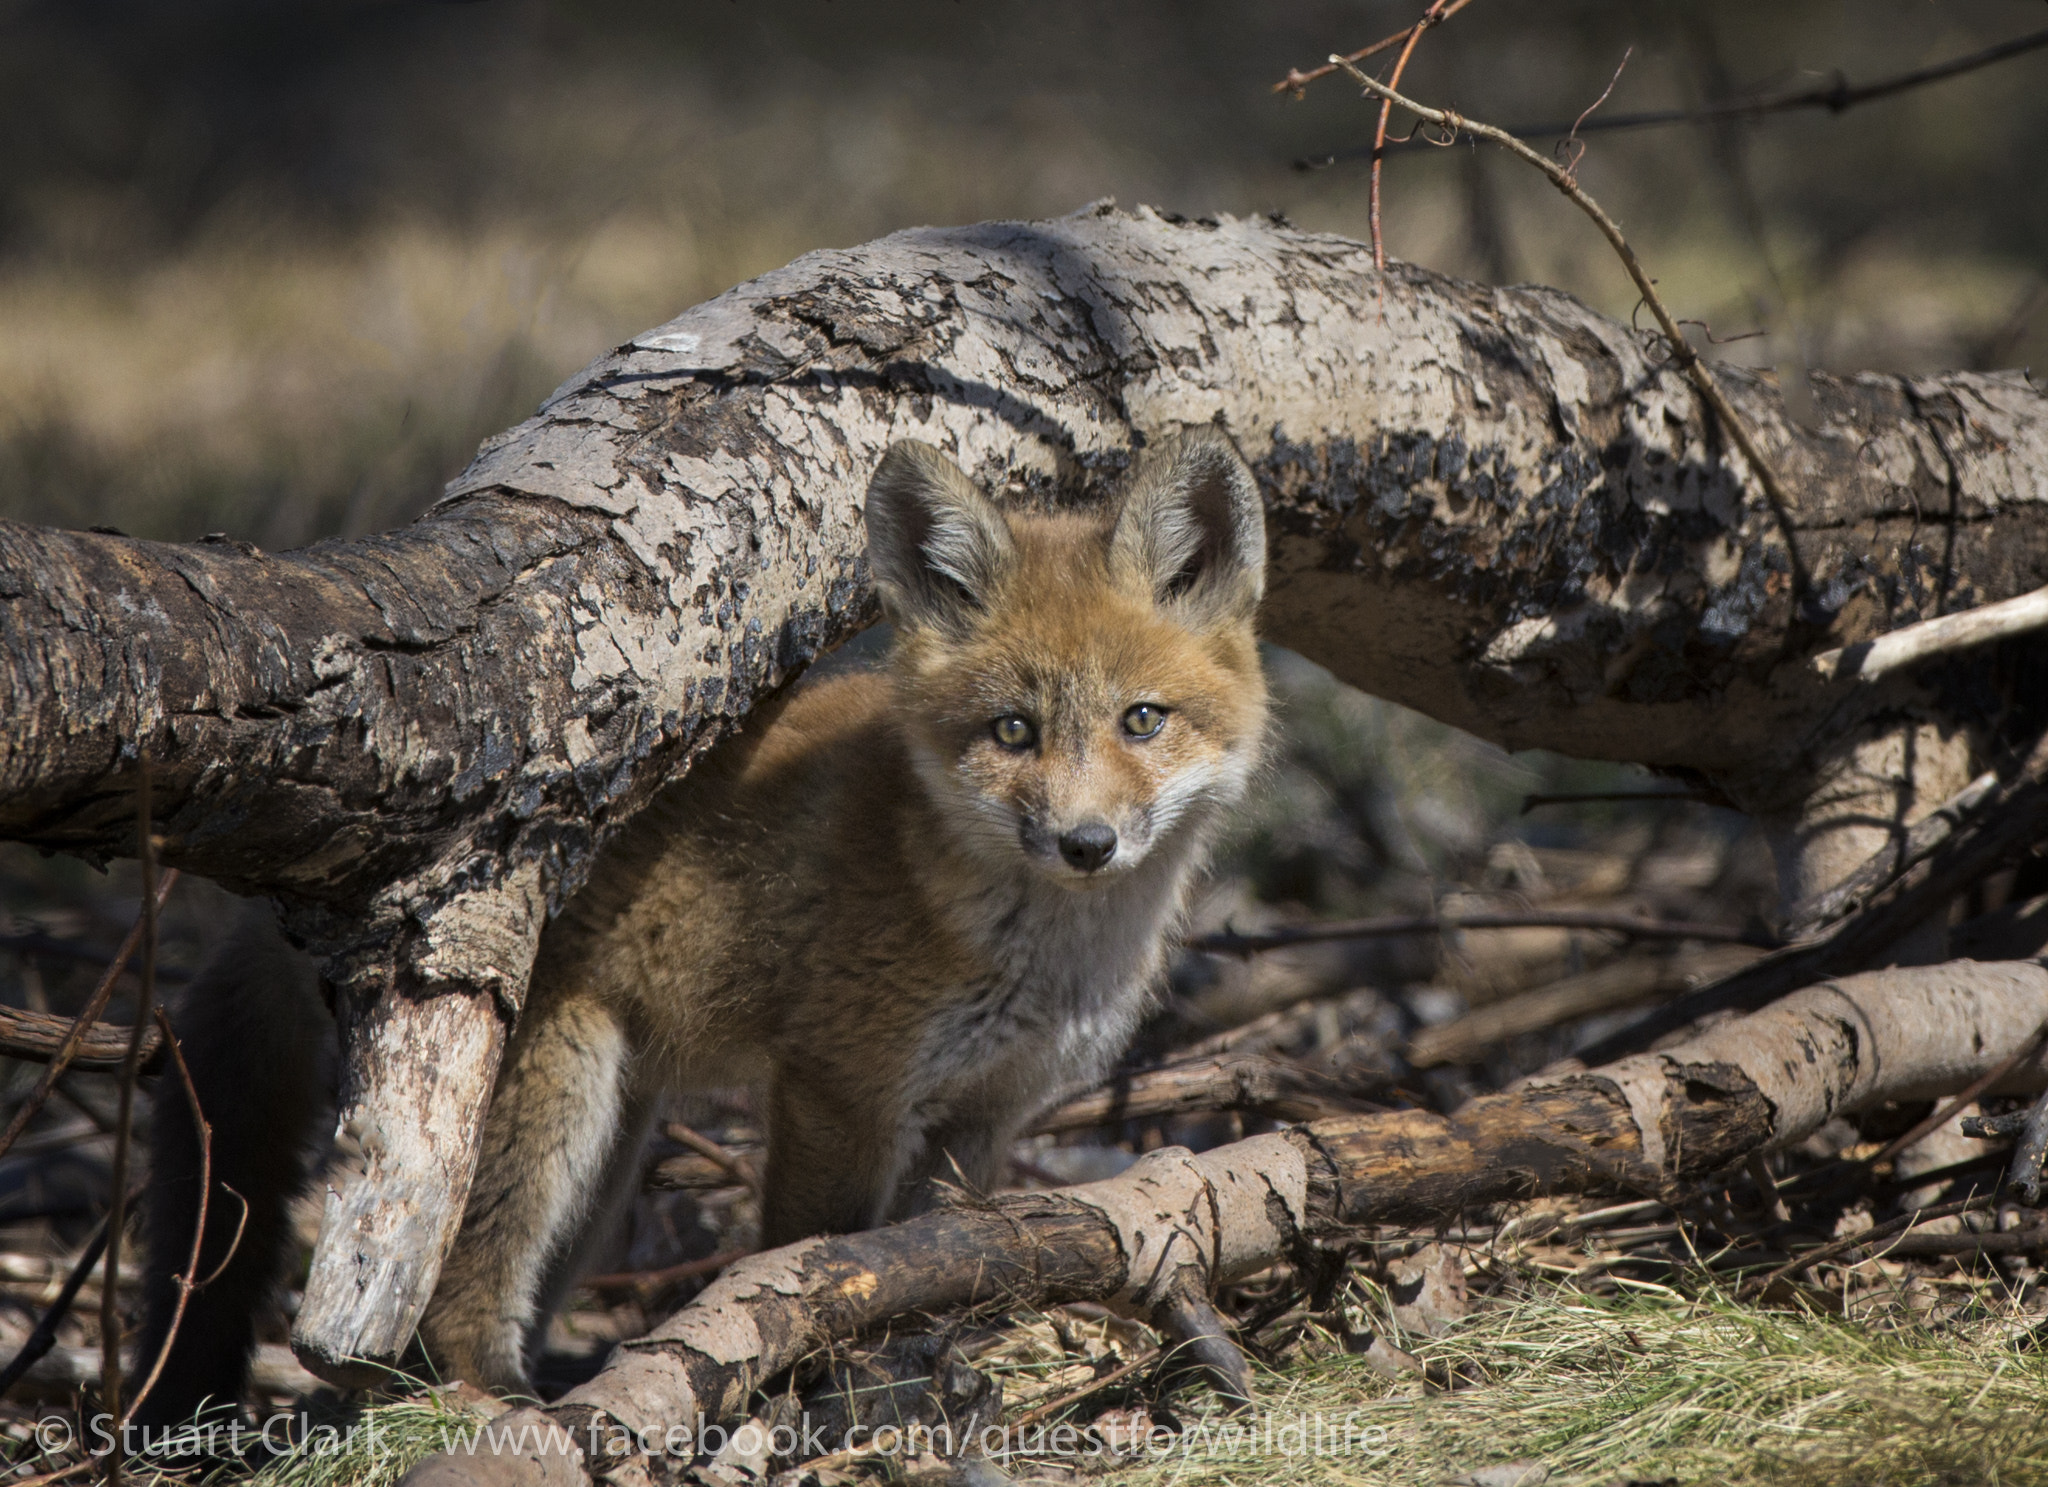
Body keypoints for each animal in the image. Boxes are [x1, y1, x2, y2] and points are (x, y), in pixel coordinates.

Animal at [132, 428, 1261, 1409]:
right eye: (1013, 730)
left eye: (1142, 719)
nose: (1084, 844)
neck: (1034, 952)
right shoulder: (839, 1087)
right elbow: (822, 1257)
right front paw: (832, 1375)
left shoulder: (983, 1114)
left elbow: (938, 1253)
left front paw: (930, 1355)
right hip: (546, 1106)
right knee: (450, 1305)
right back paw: (511, 1408)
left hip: (611, 1150)